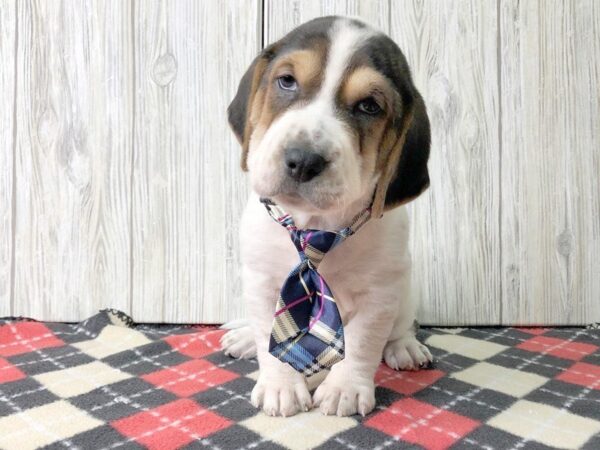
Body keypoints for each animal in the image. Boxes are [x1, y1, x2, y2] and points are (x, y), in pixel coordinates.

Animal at [220, 17, 432, 418]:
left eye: (369, 106)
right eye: (287, 81)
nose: (303, 160)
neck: (315, 225)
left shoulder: (380, 294)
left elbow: (364, 341)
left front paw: (345, 387)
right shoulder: (262, 282)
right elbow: (271, 336)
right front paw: (280, 385)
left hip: (406, 289)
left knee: (400, 327)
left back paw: (404, 347)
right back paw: (243, 338)